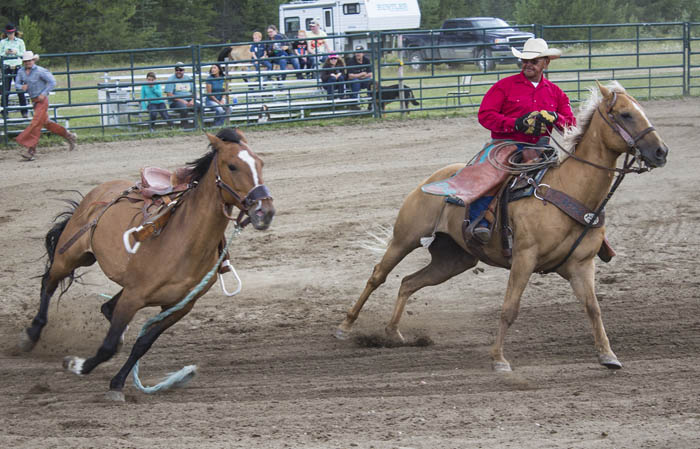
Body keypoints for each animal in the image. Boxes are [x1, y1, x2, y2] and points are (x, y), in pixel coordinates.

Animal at [19, 126, 276, 400]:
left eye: (260, 163)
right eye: (232, 166)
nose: (265, 211)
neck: (184, 242)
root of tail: (100, 190)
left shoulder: (179, 307)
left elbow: (143, 343)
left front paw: (117, 382)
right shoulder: (133, 297)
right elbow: (108, 346)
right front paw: (77, 365)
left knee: (105, 308)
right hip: (71, 256)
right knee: (49, 284)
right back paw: (31, 335)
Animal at [336, 81, 668, 372]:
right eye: (625, 114)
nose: (661, 152)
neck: (571, 189)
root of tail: (431, 179)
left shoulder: (581, 264)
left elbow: (593, 308)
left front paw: (608, 356)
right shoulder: (524, 257)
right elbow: (509, 308)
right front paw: (498, 359)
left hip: (453, 259)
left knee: (408, 282)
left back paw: (393, 332)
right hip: (406, 238)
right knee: (378, 276)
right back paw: (345, 326)